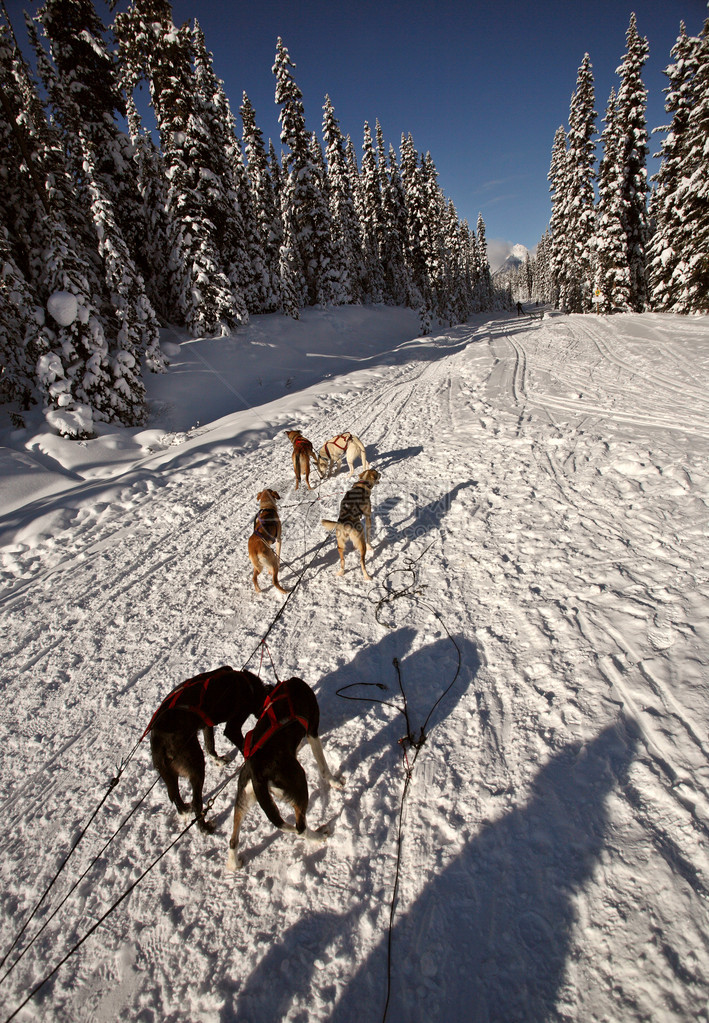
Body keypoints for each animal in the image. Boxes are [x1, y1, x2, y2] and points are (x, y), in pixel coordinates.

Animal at [144, 666, 268, 834]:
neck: (248, 684)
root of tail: (159, 740)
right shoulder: (233, 727)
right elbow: (243, 747)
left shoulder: (206, 726)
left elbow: (210, 745)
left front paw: (219, 760)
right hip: (196, 765)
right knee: (197, 802)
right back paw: (204, 827)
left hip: (169, 774)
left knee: (176, 796)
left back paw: (185, 811)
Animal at [227, 675, 343, 867]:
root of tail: (257, 771)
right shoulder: (312, 730)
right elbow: (323, 765)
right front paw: (334, 781)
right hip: (299, 784)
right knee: (300, 827)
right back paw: (319, 836)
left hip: (243, 799)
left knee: (233, 838)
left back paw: (233, 864)